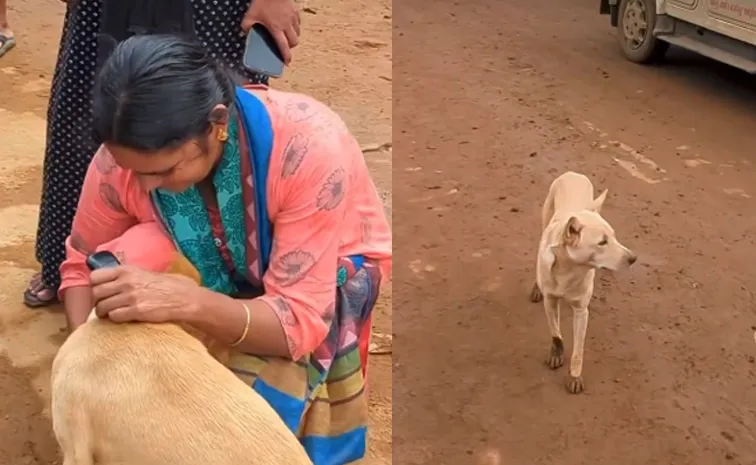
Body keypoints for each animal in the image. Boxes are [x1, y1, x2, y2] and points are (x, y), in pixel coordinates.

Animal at [532, 170, 636, 392]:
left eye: (614, 237)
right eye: (602, 242)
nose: (633, 258)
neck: (570, 270)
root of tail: (573, 173)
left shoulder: (581, 311)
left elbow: (579, 349)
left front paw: (575, 375)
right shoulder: (550, 301)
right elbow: (555, 331)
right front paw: (557, 352)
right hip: (545, 216)